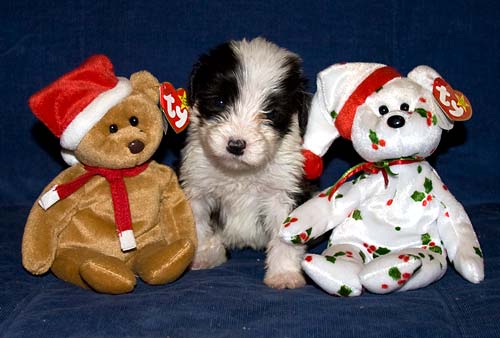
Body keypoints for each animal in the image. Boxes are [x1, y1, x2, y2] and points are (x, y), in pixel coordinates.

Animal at [182, 38, 310, 290]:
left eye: (270, 112)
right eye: (220, 101)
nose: (236, 145)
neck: (239, 172)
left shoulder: (283, 192)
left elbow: (285, 237)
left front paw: (284, 274)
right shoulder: (197, 186)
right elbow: (198, 225)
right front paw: (203, 255)